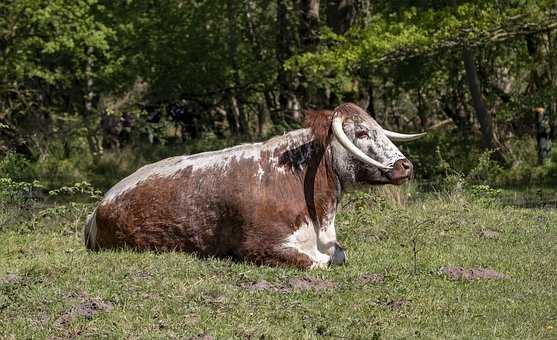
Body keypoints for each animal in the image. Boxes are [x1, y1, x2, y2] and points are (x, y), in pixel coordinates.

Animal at [82, 102, 424, 270]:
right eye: (362, 133)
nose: (405, 166)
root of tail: (100, 206)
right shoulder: (259, 246)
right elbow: (322, 262)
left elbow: (338, 255)